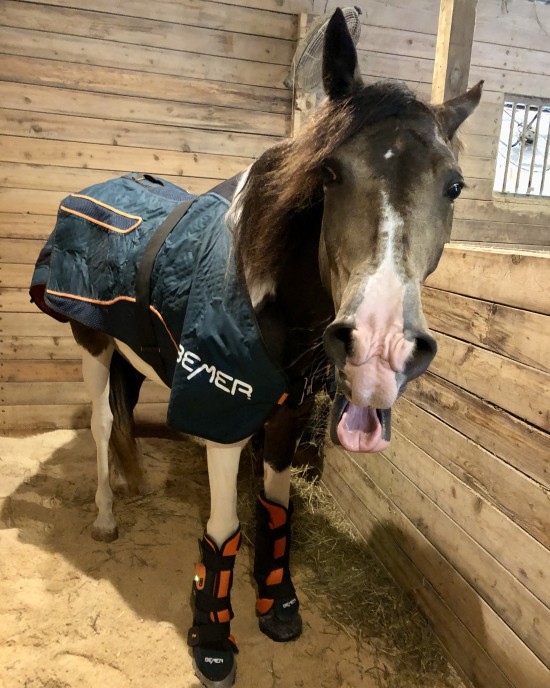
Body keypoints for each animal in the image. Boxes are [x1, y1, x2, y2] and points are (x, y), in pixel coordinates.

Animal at [29, 9, 482, 688]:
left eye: (453, 186)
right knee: (102, 421)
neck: (274, 298)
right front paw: (213, 639)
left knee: (126, 411)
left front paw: (279, 605)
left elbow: (275, 510)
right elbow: (225, 528)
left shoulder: (288, 412)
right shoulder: (221, 409)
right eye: (330, 172)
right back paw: (107, 516)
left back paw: (137, 483)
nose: (379, 345)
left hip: (133, 352)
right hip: (93, 343)